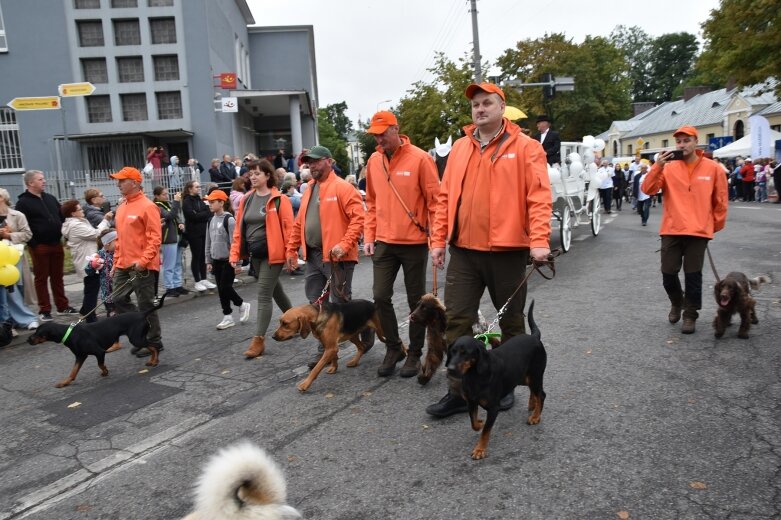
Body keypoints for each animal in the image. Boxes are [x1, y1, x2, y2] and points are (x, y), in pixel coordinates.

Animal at [27, 292, 166, 386]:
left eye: (38, 333)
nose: (28, 340)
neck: (70, 333)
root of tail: (142, 313)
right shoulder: (80, 356)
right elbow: (73, 371)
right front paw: (65, 382)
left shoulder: (99, 352)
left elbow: (100, 364)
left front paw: (105, 372)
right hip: (138, 338)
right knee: (153, 346)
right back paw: (152, 361)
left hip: (136, 338)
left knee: (155, 346)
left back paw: (155, 361)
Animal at [444, 300, 548, 460]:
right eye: (452, 351)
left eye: (465, 353)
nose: (450, 368)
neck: (475, 376)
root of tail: (535, 337)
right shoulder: (471, 402)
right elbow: (473, 423)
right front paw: (479, 423)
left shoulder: (493, 408)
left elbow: (486, 431)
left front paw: (480, 449)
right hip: (523, 376)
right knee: (534, 391)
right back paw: (533, 404)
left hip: (535, 374)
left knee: (542, 394)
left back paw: (536, 416)